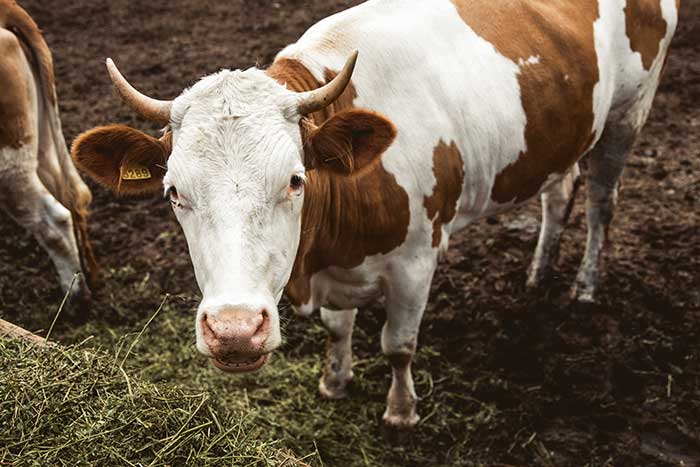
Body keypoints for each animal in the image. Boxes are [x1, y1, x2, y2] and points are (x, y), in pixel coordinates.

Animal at [71, 0, 680, 428]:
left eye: (295, 179)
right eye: (174, 192)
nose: (235, 330)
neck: (327, 250)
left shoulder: (417, 261)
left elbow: (398, 344)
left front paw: (402, 412)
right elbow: (338, 327)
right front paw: (335, 381)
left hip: (631, 111)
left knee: (601, 200)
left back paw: (585, 287)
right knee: (561, 190)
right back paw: (539, 272)